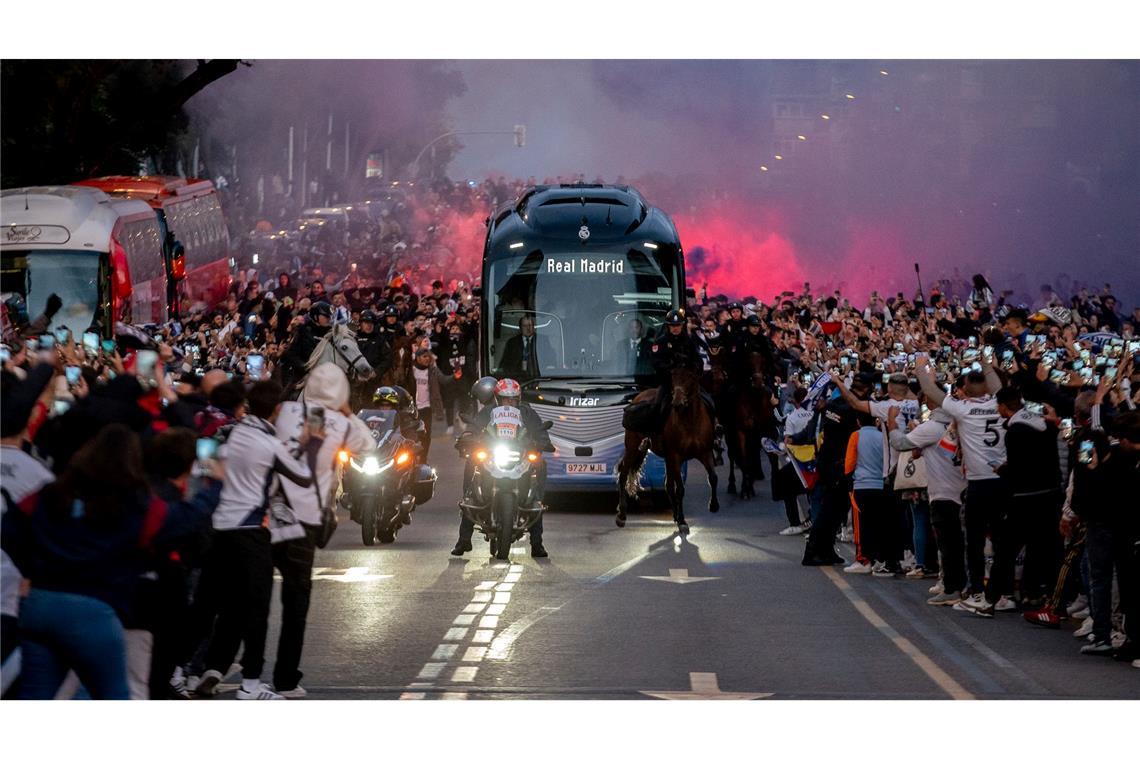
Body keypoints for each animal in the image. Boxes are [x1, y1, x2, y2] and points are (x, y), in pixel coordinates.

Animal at [620, 364, 715, 533]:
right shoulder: (676, 456)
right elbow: (680, 489)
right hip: (633, 447)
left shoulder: (705, 453)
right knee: (624, 472)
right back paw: (621, 515)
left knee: (668, 485)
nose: (677, 403)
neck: (691, 422)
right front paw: (683, 521)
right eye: (673, 378)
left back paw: (675, 514)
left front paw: (713, 505)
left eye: (691, 378)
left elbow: (713, 477)